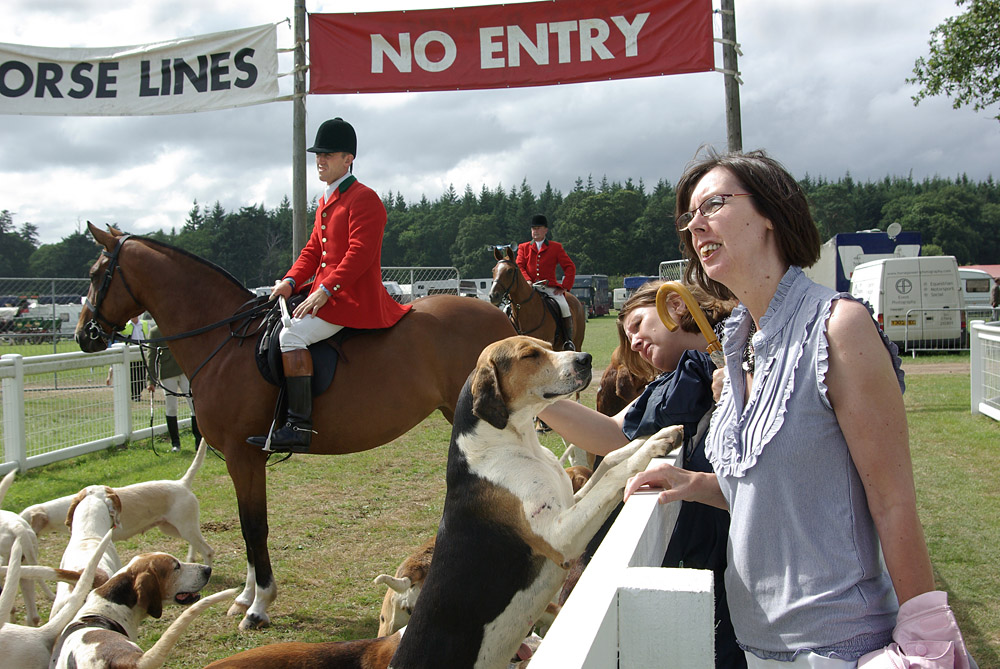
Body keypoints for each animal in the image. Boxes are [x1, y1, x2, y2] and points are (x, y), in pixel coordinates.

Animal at [76, 222, 516, 628]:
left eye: (96, 274)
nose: (84, 336)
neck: (225, 342)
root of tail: (501, 320)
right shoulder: (243, 459)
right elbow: (247, 526)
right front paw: (244, 597)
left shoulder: (243, 455)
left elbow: (255, 527)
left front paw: (258, 605)